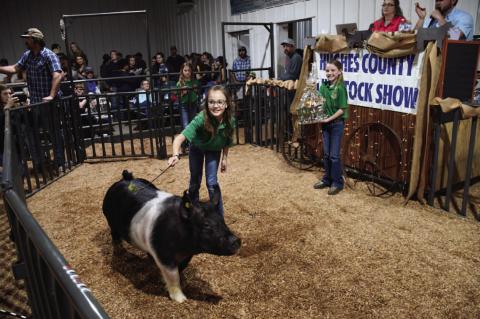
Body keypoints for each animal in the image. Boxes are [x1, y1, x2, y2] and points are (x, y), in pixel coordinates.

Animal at [103, 171, 242, 304]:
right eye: (206, 224)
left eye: (222, 219)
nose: (236, 241)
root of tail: (125, 178)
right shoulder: (163, 255)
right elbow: (173, 275)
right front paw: (181, 300)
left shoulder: (186, 255)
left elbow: (180, 269)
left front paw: (181, 282)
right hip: (110, 221)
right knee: (115, 236)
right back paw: (120, 253)